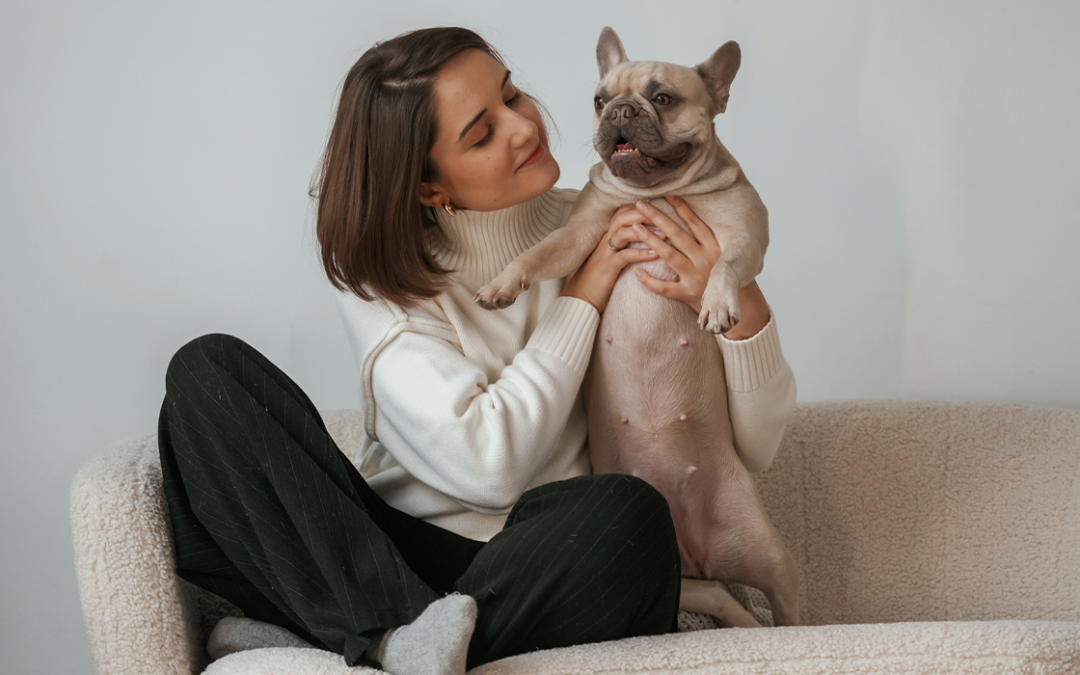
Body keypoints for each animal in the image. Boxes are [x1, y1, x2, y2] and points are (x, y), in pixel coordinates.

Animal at [477, 26, 799, 626]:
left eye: (663, 98)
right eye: (599, 99)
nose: (620, 112)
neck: (658, 193)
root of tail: (698, 548)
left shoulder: (746, 236)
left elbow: (726, 263)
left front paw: (717, 303)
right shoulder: (581, 237)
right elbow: (539, 252)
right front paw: (502, 283)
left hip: (769, 555)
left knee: (788, 606)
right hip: (684, 577)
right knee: (719, 595)